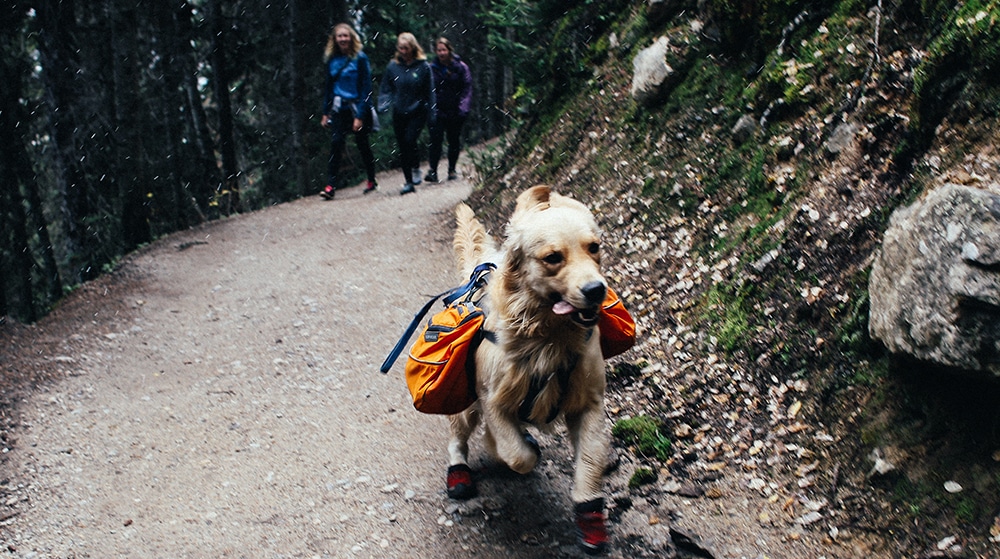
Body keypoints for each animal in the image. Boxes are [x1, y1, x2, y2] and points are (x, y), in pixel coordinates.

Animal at [450, 186, 612, 552]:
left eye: (594, 247)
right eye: (553, 257)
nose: (595, 290)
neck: (549, 338)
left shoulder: (589, 402)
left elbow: (591, 462)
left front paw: (590, 515)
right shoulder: (492, 399)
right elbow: (517, 454)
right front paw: (504, 449)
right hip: (465, 405)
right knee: (457, 438)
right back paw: (458, 472)